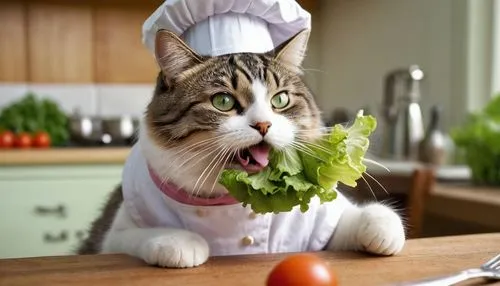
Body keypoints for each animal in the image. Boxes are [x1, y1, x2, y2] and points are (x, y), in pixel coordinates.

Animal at [78, 28, 406, 268]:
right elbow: (141, 235)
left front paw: (384, 230)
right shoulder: (111, 236)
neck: (235, 203)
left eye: (280, 99)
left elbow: (362, 217)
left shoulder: (321, 224)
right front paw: (182, 243)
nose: (263, 124)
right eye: (223, 101)